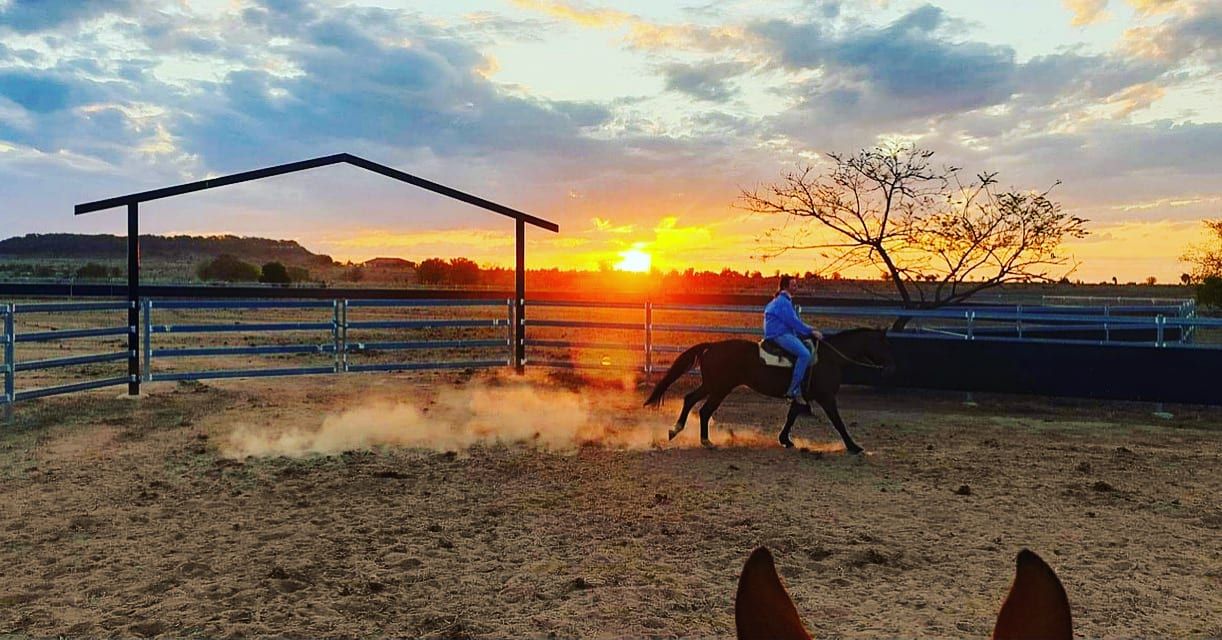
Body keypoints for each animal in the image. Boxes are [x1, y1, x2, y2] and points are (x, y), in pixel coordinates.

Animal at [645, 329, 894, 454]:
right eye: (883, 343)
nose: (890, 366)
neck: (829, 358)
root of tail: (713, 346)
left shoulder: (802, 397)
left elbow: (791, 416)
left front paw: (785, 440)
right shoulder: (826, 398)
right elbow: (839, 422)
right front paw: (853, 446)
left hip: (712, 385)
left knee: (690, 400)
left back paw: (675, 430)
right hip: (720, 388)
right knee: (705, 410)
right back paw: (706, 441)